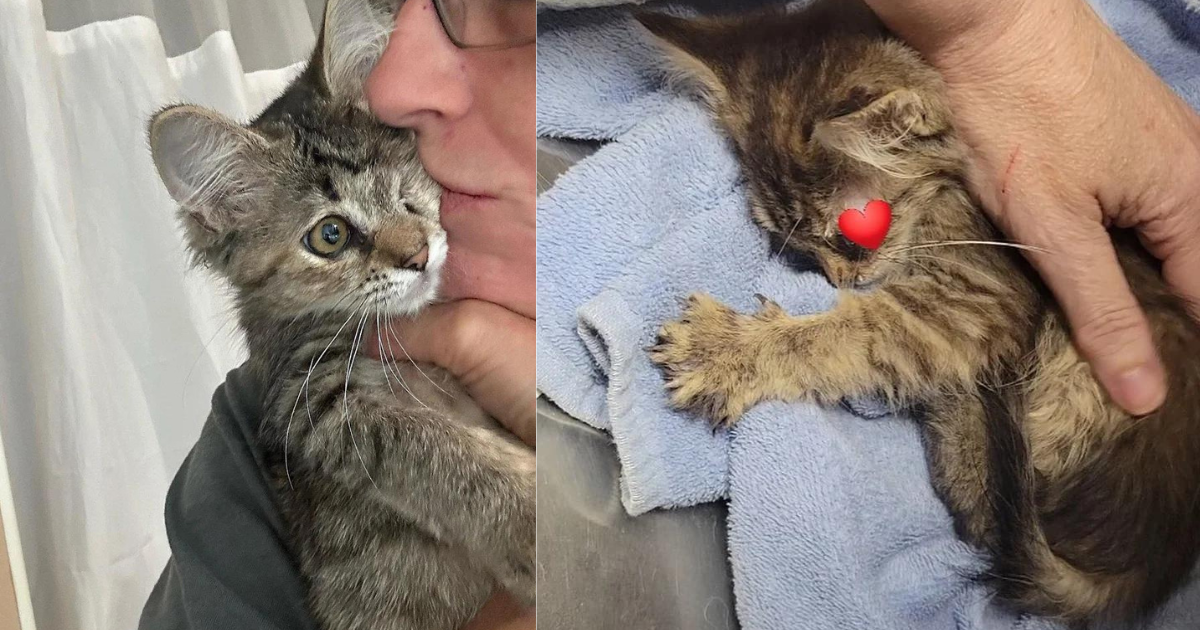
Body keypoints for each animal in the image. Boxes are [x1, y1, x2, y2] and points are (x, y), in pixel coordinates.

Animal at [146, 2, 535, 624]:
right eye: (329, 236)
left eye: (403, 188)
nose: (419, 255)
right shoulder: (311, 400)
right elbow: (432, 447)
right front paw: (526, 515)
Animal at [643, 1, 1200, 624]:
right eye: (797, 246)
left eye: (852, 238)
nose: (840, 280)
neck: (945, 189)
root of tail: (1156, 563)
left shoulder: (976, 292)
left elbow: (852, 333)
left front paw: (727, 351)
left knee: (990, 509)